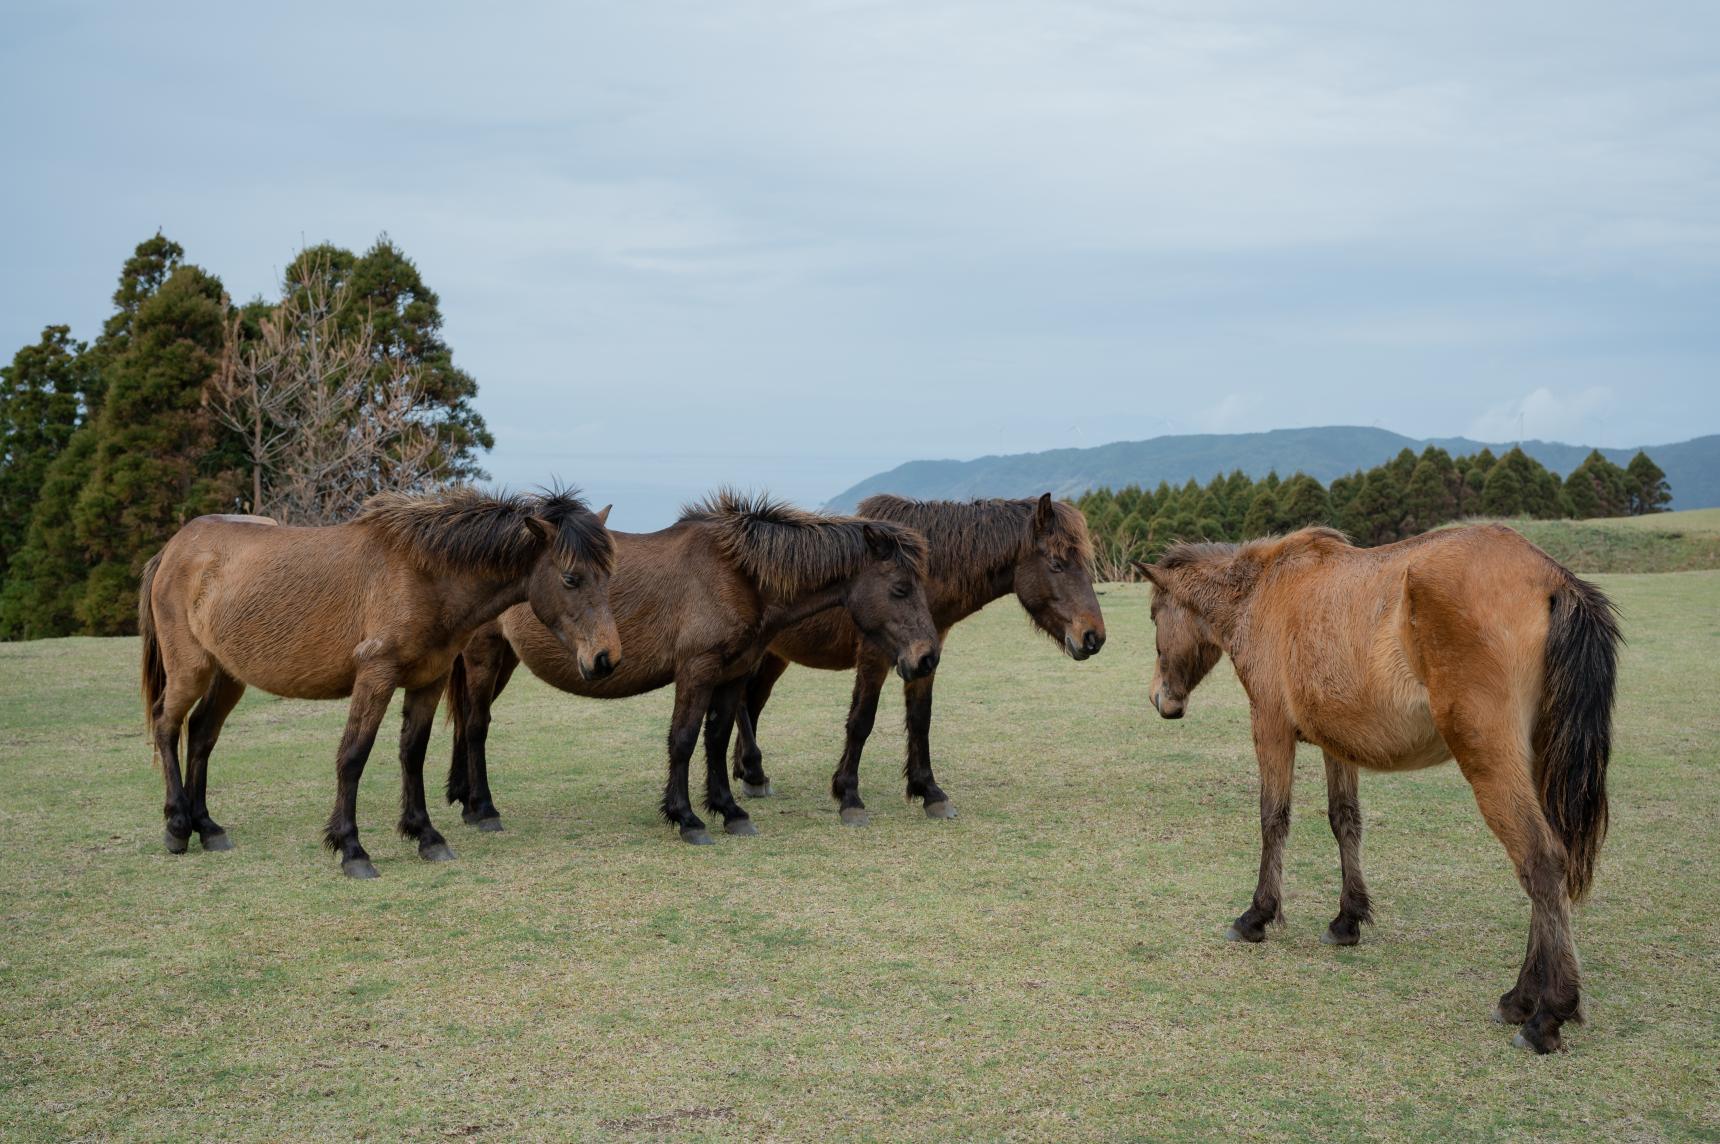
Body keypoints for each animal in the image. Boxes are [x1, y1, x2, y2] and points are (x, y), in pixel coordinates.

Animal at [138, 487, 619, 878]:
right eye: (571, 577)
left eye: (608, 575)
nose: (605, 658)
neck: (422, 575)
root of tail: (174, 550)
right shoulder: (376, 675)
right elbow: (353, 756)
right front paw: (351, 849)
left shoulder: (429, 680)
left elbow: (413, 753)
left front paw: (425, 835)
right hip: (190, 669)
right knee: (167, 725)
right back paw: (177, 826)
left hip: (228, 676)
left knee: (201, 733)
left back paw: (207, 827)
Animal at [444, 491, 942, 845]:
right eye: (900, 588)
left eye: (920, 586)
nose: (927, 657)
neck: (736, 575)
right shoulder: (697, 670)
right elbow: (683, 740)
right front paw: (686, 818)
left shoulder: (733, 672)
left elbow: (717, 738)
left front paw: (730, 811)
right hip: (484, 656)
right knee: (476, 726)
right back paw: (484, 809)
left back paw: (466, 803)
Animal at [726, 493, 1104, 825]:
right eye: (1057, 564)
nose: (1094, 637)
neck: (920, 577)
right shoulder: (875, 656)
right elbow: (862, 721)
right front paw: (849, 797)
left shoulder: (925, 659)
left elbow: (921, 719)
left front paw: (930, 792)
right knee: (742, 701)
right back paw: (753, 770)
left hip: (775, 656)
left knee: (753, 701)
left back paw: (750, 773)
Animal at [1137, 524, 1619, 1053]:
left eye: (1153, 615)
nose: (1161, 699)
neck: (1262, 590)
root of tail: (1552, 578)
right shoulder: (1335, 742)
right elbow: (1344, 820)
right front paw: (1347, 919)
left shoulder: (1270, 726)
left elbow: (1273, 819)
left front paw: (1257, 916)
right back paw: (1519, 999)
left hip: (1492, 761)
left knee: (1540, 861)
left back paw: (1547, 1014)